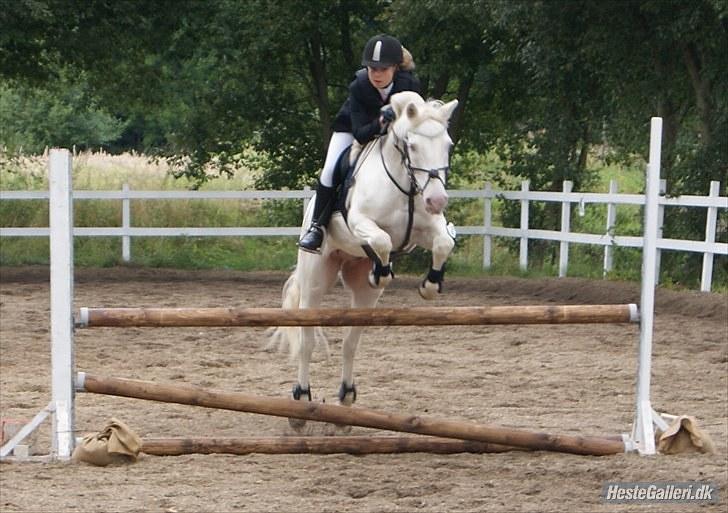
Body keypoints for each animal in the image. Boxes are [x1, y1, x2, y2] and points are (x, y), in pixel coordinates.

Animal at [270, 91, 458, 420]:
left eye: (447, 145)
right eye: (412, 145)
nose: (437, 200)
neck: (406, 186)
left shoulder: (426, 228)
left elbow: (443, 243)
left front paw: (430, 285)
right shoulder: (360, 222)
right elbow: (382, 239)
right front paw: (382, 271)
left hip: (363, 295)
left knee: (350, 341)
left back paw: (346, 394)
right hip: (315, 278)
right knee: (307, 340)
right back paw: (302, 395)